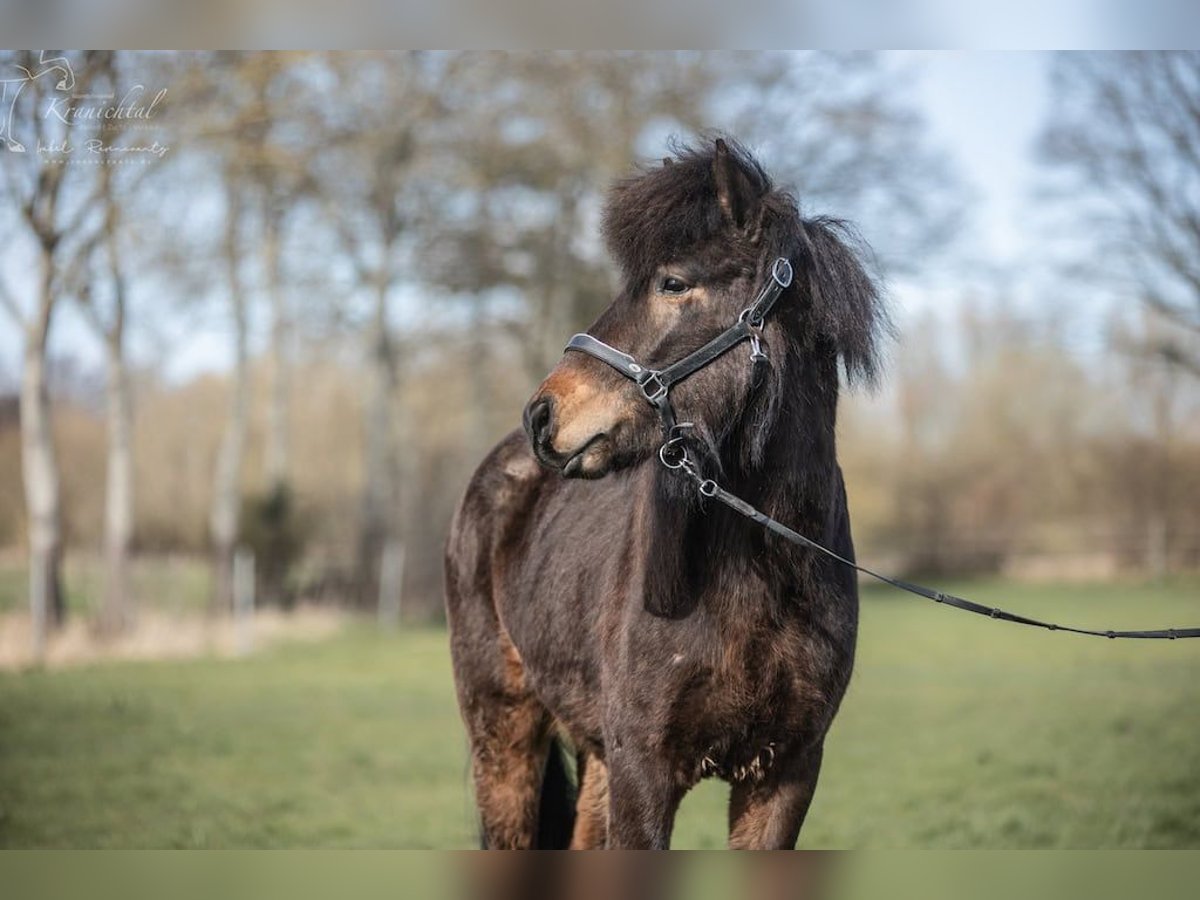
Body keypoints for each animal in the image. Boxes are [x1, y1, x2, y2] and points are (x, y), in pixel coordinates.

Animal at [446, 137, 888, 849]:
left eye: (673, 282)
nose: (542, 416)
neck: (756, 576)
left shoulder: (786, 773)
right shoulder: (644, 772)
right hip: (504, 734)